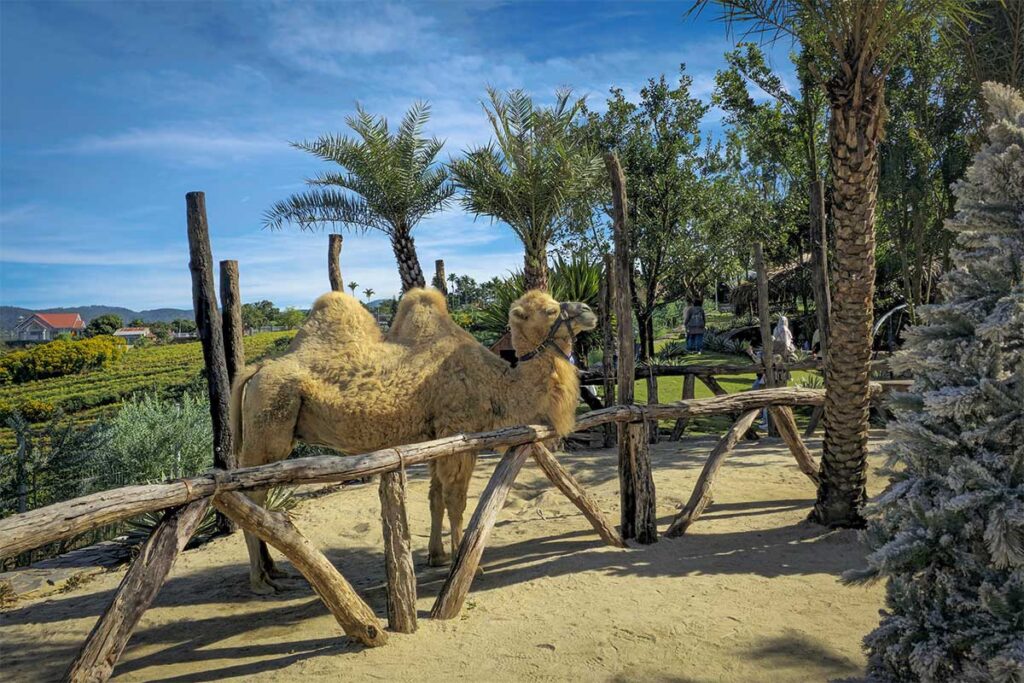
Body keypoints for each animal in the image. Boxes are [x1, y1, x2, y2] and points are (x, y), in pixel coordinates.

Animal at [230, 287, 597, 593]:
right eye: (550, 310)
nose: (588, 310)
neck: (497, 384)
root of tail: (258, 368)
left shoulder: (436, 441)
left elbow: (435, 498)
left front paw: (436, 556)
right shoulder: (458, 434)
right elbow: (455, 501)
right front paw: (465, 565)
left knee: (256, 498)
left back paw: (273, 570)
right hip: (270, 427)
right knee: (251, 496)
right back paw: (260, 581)